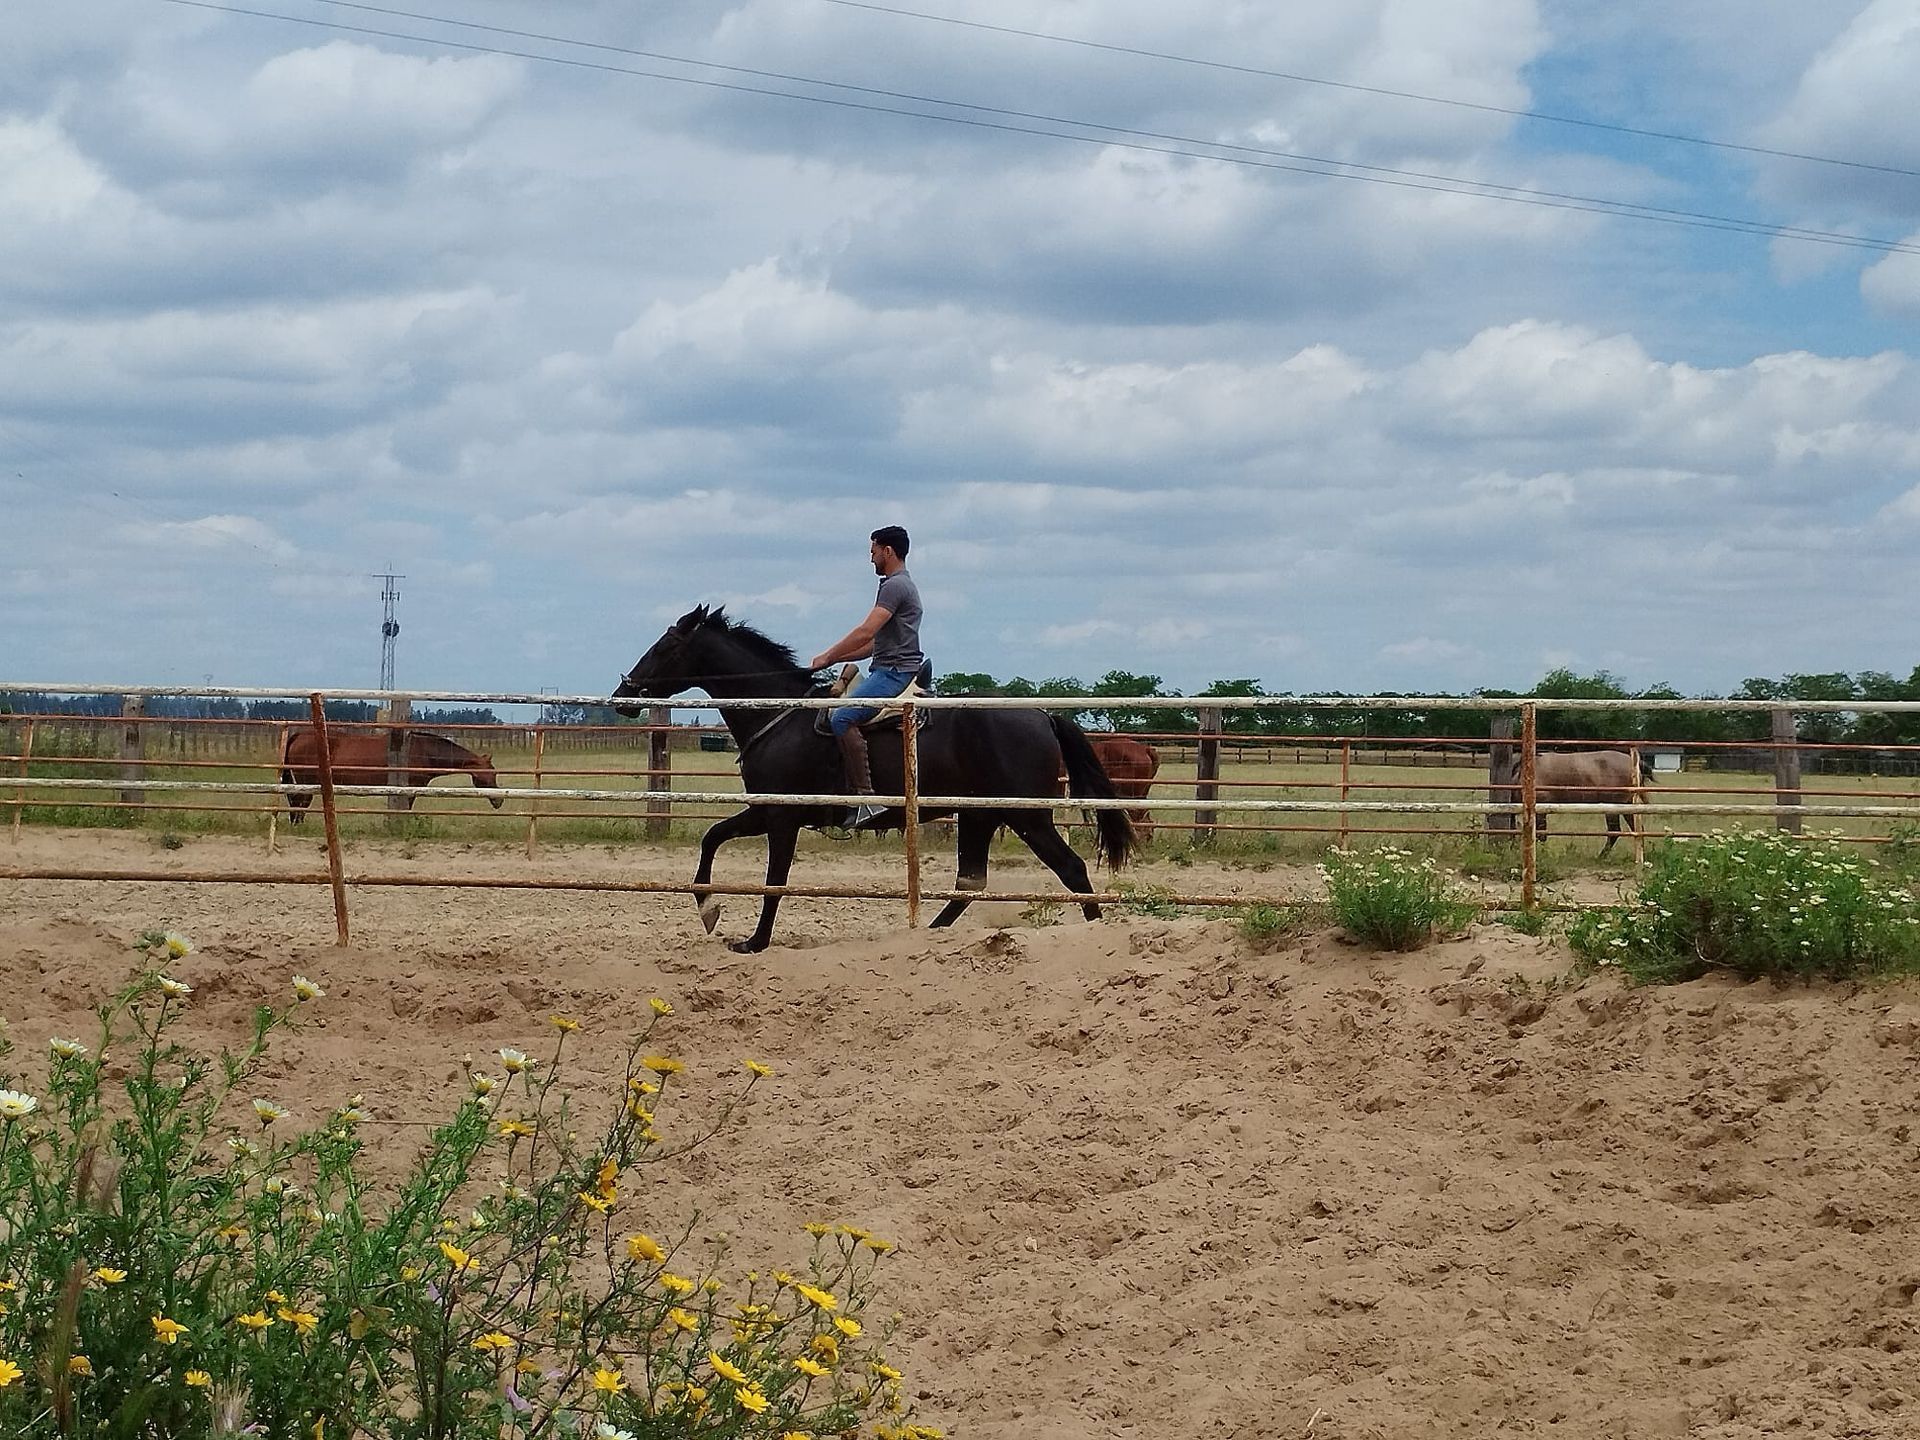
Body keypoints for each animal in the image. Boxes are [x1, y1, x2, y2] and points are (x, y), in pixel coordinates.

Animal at [279, 728, 503, 825]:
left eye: (495, 773)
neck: (422, 750)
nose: (499, 801)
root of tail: (299, 735)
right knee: (300, 803)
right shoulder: (410, 788)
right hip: (307, 782)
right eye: (485, 776)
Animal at [613, 604, 1138, 953]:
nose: (623, 693)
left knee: (1071, 870)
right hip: (979, 816)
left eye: (667, 646)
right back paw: (928, 934)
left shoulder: (781, 818)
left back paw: (1094, 932)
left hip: (1028, 817)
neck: (781, 712)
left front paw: (754, 940)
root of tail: (1042, 716)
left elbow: (774, 880)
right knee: (970, 881)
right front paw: (708, 909)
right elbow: (711, 838)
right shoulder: (765, 811)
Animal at [1487, 749, 1654, 857]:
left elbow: (1541, 835)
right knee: (1637, 830)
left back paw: (1601, 857)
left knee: (1615, 832)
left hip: (1613, 807)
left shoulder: (1541, 809)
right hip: (1626, 806)